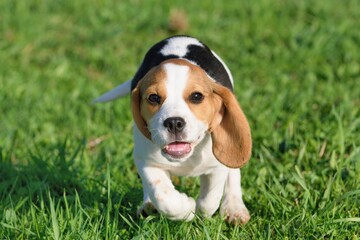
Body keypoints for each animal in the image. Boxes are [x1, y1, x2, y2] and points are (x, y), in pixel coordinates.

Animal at [95, 35, 253, 225]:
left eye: (196, 96)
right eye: (153, 98)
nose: (174, 123)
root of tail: (179, 37)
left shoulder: (216, 166)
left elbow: (210, 199)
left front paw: (200, 211)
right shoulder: (147, 162)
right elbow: (165, 198)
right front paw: (186, 208)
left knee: (233, 173)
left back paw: (234, 208)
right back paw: (149, 206)